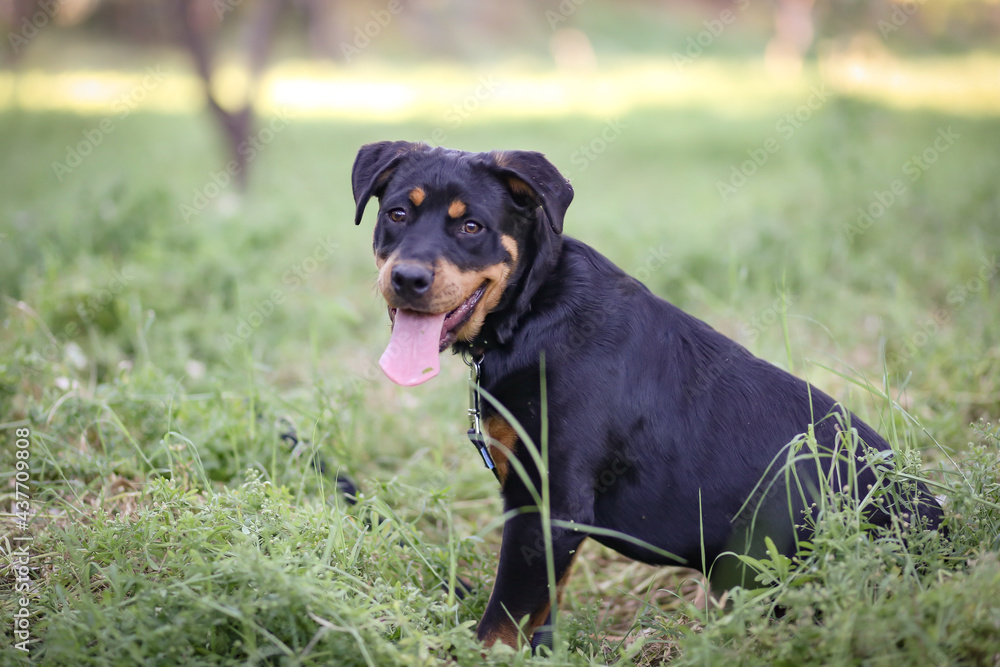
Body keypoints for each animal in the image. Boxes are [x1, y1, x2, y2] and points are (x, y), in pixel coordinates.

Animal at [352, 142, 944, 652]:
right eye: (398, 214)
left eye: (471, 226)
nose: (407, 278)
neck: (531, 310)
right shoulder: (547, 515)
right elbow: (541, 604)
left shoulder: (549, 502)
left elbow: (504, 616)